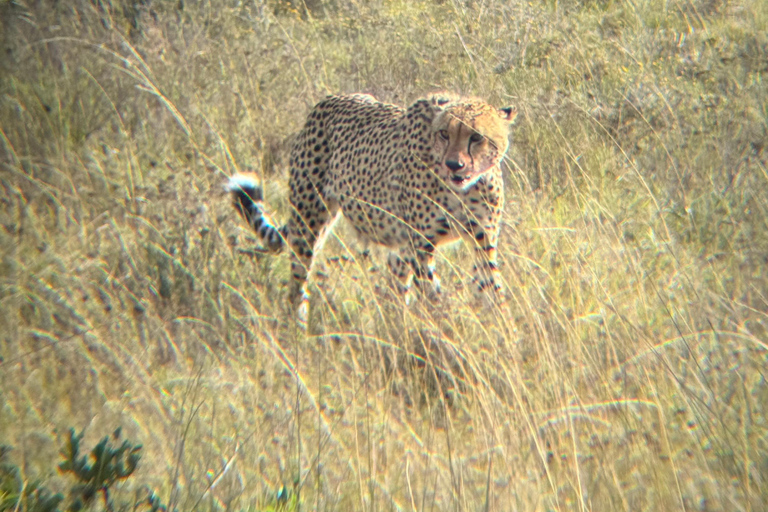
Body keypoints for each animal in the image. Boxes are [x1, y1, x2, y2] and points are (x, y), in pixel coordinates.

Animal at [228, 92, 516, 316]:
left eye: (476, 137)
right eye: (444, 134)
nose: (454, 164)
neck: (464, 187)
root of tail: (327, 101)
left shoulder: (482, 239)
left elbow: (492, 287)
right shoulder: (421, 245)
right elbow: (435, 295)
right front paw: (447, 328)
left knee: (397, 282)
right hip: (309, 222)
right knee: (298, 282)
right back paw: (298, 331)